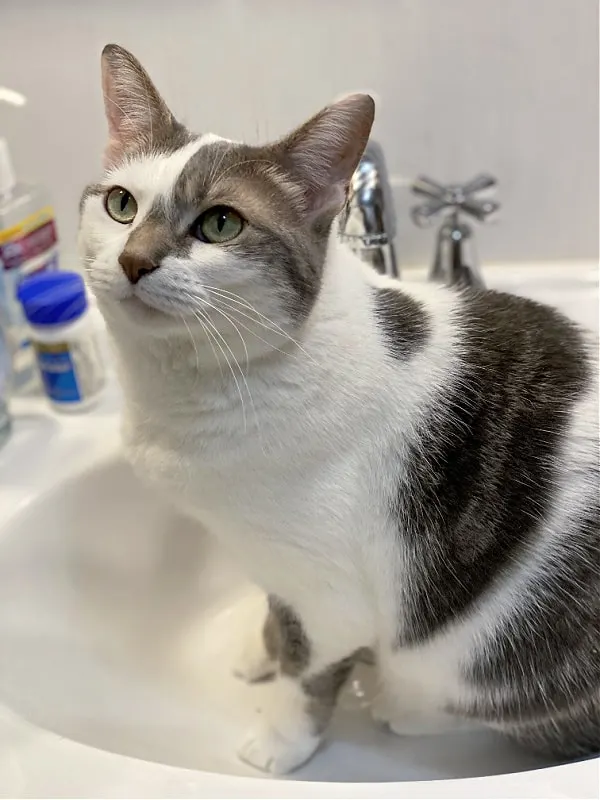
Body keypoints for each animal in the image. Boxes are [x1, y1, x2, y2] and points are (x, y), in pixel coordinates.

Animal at [79, 45, 600, 776]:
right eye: (121, 205)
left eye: (220, 223)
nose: (132, 260)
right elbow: (277, 615)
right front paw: (260, 641)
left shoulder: (332, 591)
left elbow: (307, 668)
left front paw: (280, 738)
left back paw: (401, 703)